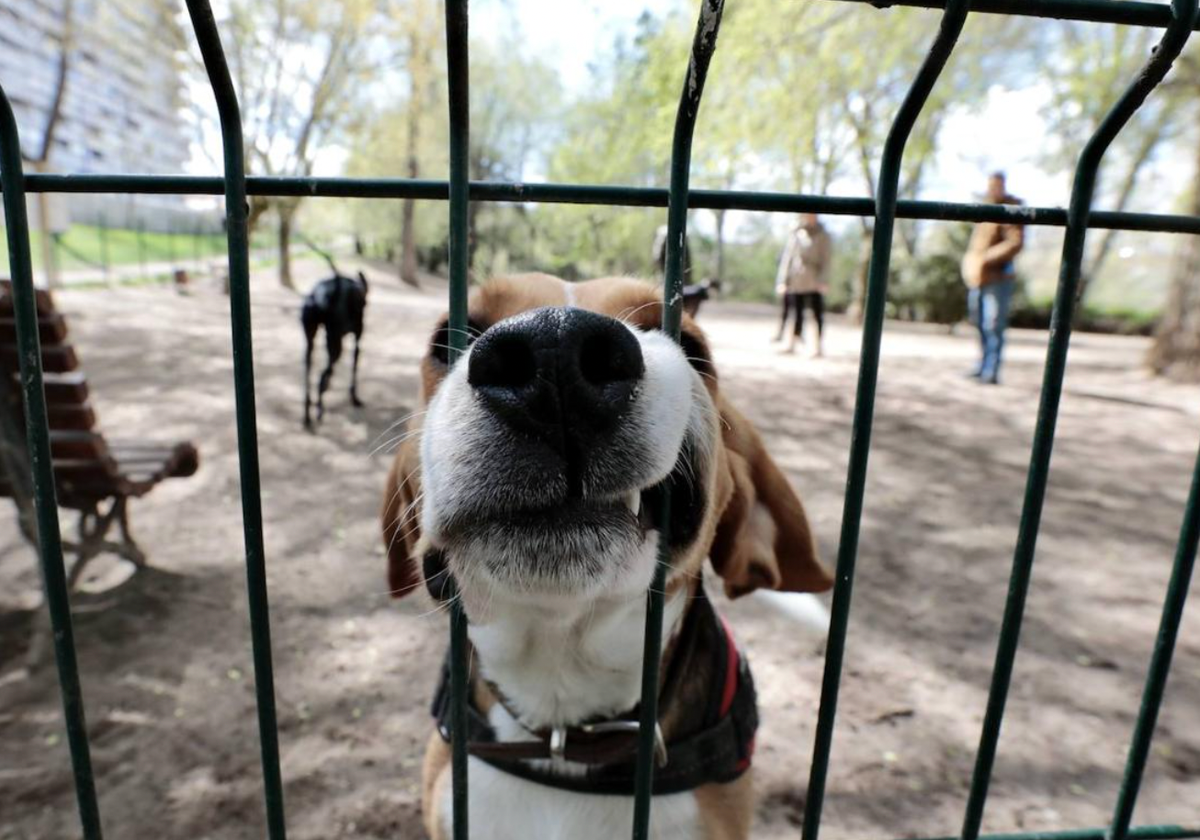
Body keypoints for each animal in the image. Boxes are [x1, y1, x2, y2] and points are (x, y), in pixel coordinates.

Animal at [302, 271, 367, 429]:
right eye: (363, 303)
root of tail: (317, 297)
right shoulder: (357, 342)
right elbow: (354, 368)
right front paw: (354, 398)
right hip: (336, 345)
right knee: (321, 377)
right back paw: (319, 410)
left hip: (311, 343)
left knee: (309, 373)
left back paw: (307, 413)